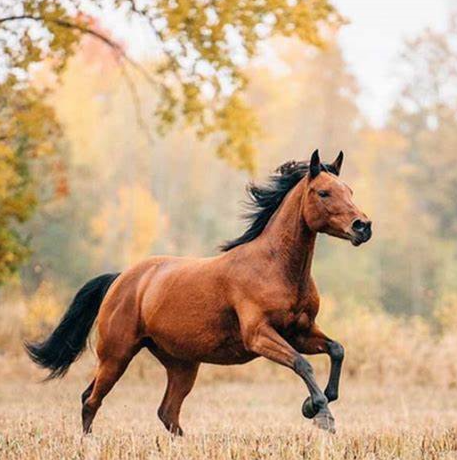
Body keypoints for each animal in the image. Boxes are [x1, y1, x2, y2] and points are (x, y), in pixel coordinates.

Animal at [25, 148, 370, 434]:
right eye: (323, 192)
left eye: (350, 191)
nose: (363, 227)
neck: (275, 267)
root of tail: (121, 278)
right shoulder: (259, 335)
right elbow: (302, 364)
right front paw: (322, 415)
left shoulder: (299, 332)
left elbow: (337, 350)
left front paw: (314, 405)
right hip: (116, 355)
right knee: (91, 400)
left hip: (182, 365)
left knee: (166, 412)